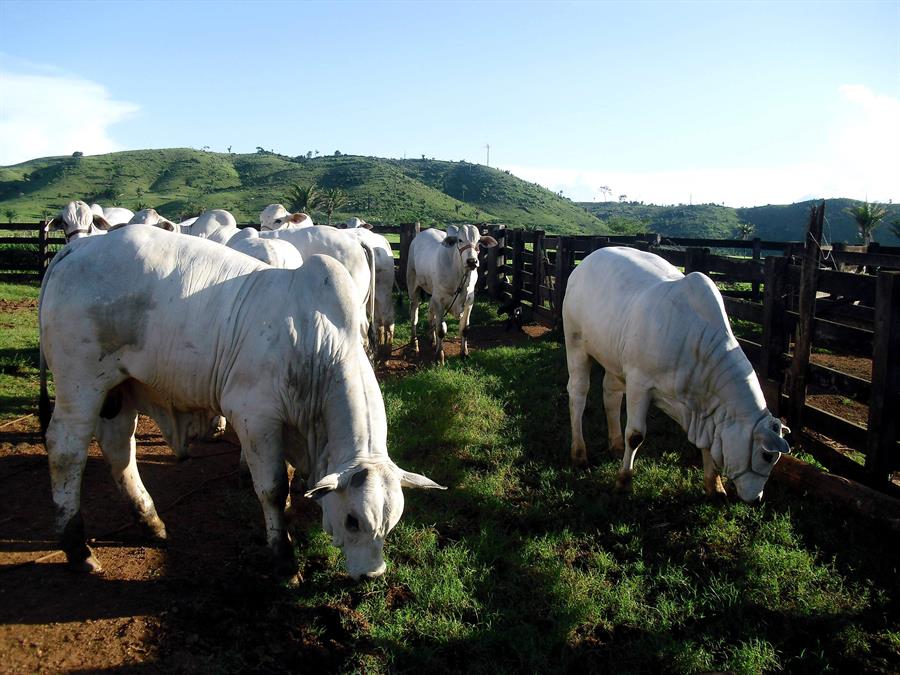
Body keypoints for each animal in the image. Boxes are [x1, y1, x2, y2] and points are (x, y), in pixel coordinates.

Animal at [39, 224, 446, 580]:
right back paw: (78, 549)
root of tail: (78, 247)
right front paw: (284, 559)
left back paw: (151, 521)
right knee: (65, 450)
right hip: (81, 384)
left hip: (119, 388)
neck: (317, 343)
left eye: (391, 525)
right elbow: (272, 488)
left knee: (119, 450)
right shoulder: (255, 417)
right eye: (353, 521)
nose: (371, 575)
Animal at [408, 226, 500, 364]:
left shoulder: (469, 301)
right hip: (413, 286)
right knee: (414, 316)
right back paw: (414, 345)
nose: (472, 261)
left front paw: (464, 353)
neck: (460, 274)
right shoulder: (439, 300)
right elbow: (441, 329)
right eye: (460, 240)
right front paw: (439, 356)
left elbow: (464, 328)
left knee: (431, 315)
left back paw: (432, 340)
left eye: (479, 241)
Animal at [568, 247, 792, 502]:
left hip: (613, 356)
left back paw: (615, 445)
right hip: (575, 341)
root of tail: (587, 260)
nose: (756, 499)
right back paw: (579, 454)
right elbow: (635, 435)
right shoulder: (639, 382)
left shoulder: (704, 409)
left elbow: (707, 444)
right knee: (578, 394)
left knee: (611, 394)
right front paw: (624, 481)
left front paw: (715, 485)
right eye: (766, 456)